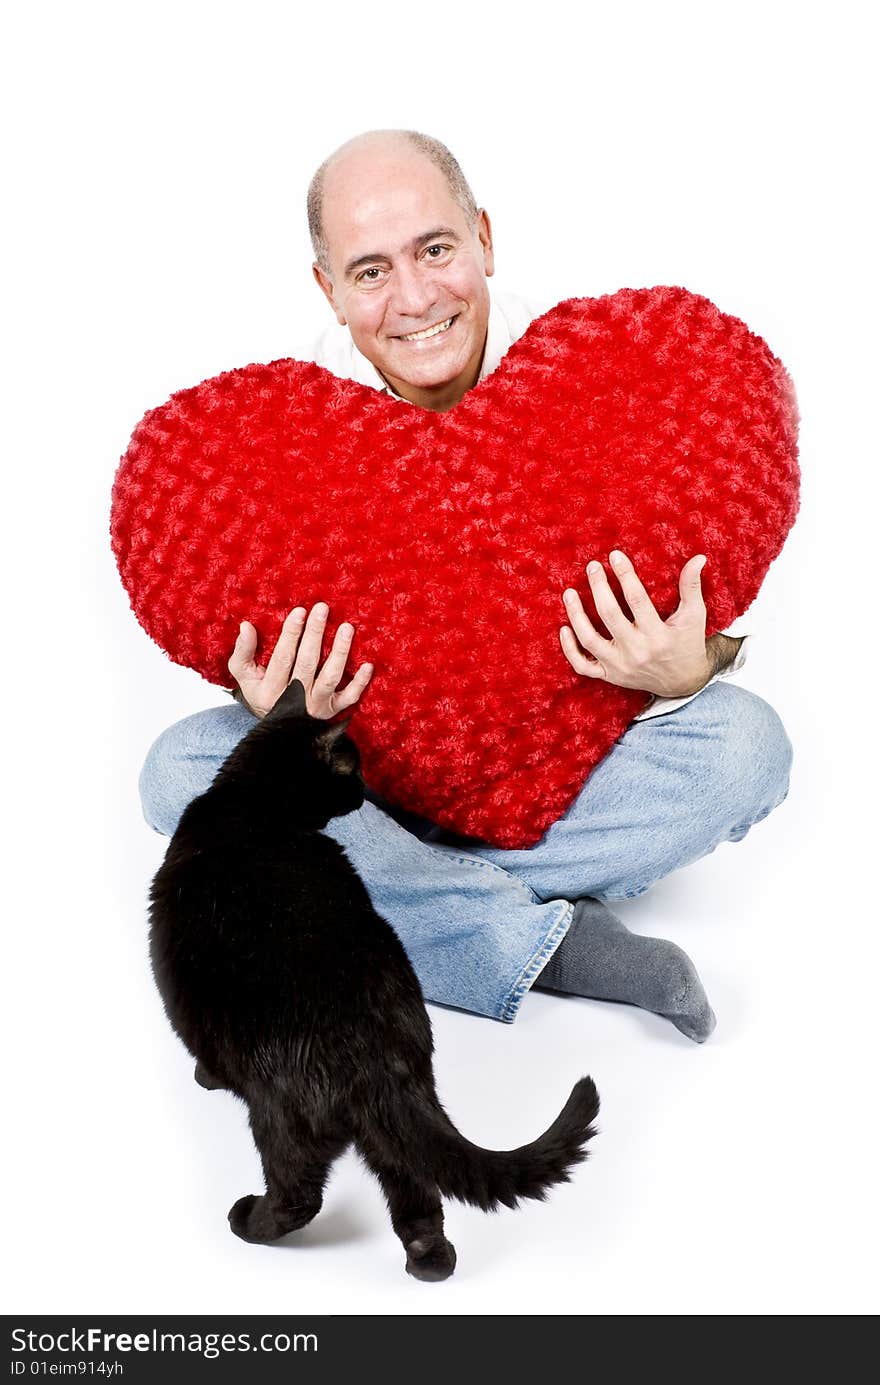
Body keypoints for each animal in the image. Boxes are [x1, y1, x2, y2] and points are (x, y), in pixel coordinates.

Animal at [148, 675, 601, 1279]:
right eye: (354, 769)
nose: (366, 793)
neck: (254, 806)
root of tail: (380, 1052)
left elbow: (203, 1051)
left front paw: (206, 1077)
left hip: (283, 1115)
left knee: (300, 1195)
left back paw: (249, 1222)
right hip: (394, 1123)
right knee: (415, 1185)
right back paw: (430, 1261)